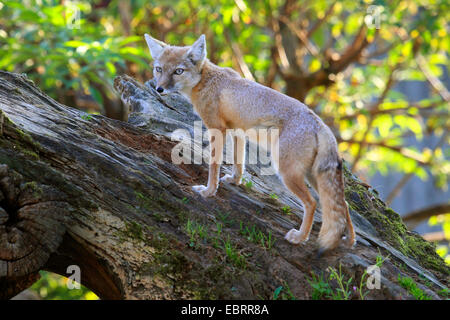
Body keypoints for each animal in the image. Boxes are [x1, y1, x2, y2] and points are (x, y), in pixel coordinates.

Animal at [144, 32, 356, 252]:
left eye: (178, 71)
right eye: (159, 69)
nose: (159, 89)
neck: (206, 80)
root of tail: (320, 124)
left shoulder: (217, 129)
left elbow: (214, 165)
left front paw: (208, 191)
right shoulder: (237, 131)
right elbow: (239, 162)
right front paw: (234, 181)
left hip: (288, 173)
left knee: (312, 203)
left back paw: (300, 237)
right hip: (311, 175)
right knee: (344, 205)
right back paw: (348, 241)